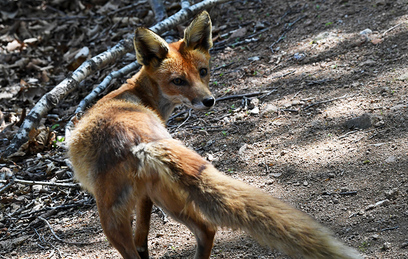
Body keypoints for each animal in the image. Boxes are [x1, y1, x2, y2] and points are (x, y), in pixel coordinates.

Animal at [67, 11, 364, 259]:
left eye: (203, 72)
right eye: (178, 81)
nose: (209, 101)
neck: (138, 96)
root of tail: (143, 140)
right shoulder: (146, 197)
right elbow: (143, 236)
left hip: (112, 219)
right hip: (167, 198)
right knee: (207, 229)